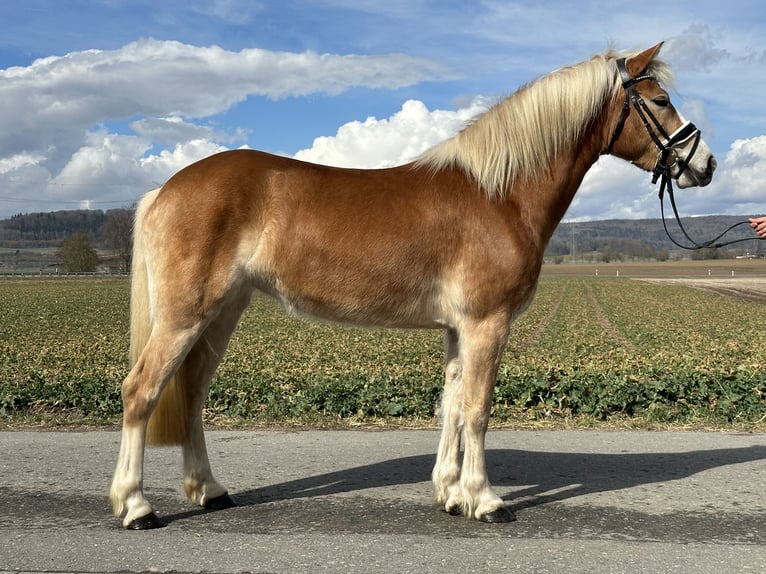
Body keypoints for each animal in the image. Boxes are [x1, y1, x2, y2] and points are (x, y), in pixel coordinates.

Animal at [109, 44, 720, 532]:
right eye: (660, 100)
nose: (707, 164)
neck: (498, 194)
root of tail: (166, 189)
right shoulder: (486, 324)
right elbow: (477, 409)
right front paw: (485, 500)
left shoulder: (457, 329)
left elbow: (450, 405)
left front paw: (450, 493)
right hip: (185, 316)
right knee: (141, 390)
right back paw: (136, 506)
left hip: (221, 314)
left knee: (191, 394)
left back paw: (209, 491)